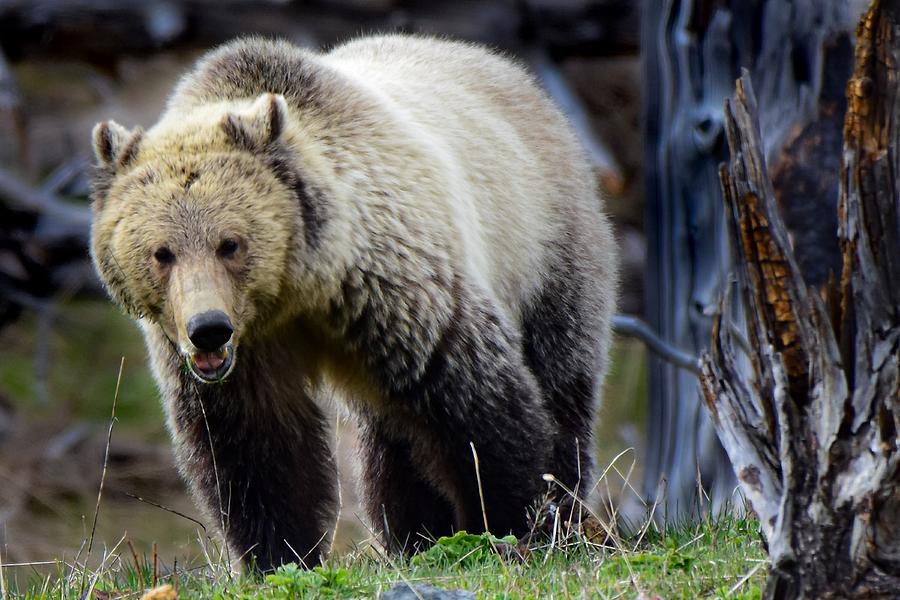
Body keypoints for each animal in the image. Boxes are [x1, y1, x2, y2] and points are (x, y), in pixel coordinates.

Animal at [88, 35, 616, 568]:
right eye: (162, 252)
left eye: (229, 243)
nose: (208, 329)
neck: (299, 288)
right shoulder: (246, 358)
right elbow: (256, 450)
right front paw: (281, 553)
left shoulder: (391, 290)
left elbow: (476, 404)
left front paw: (509, 520)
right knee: (392, 439)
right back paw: (416, 533)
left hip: (546, 244)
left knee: (559, 377)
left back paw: (562, 511)